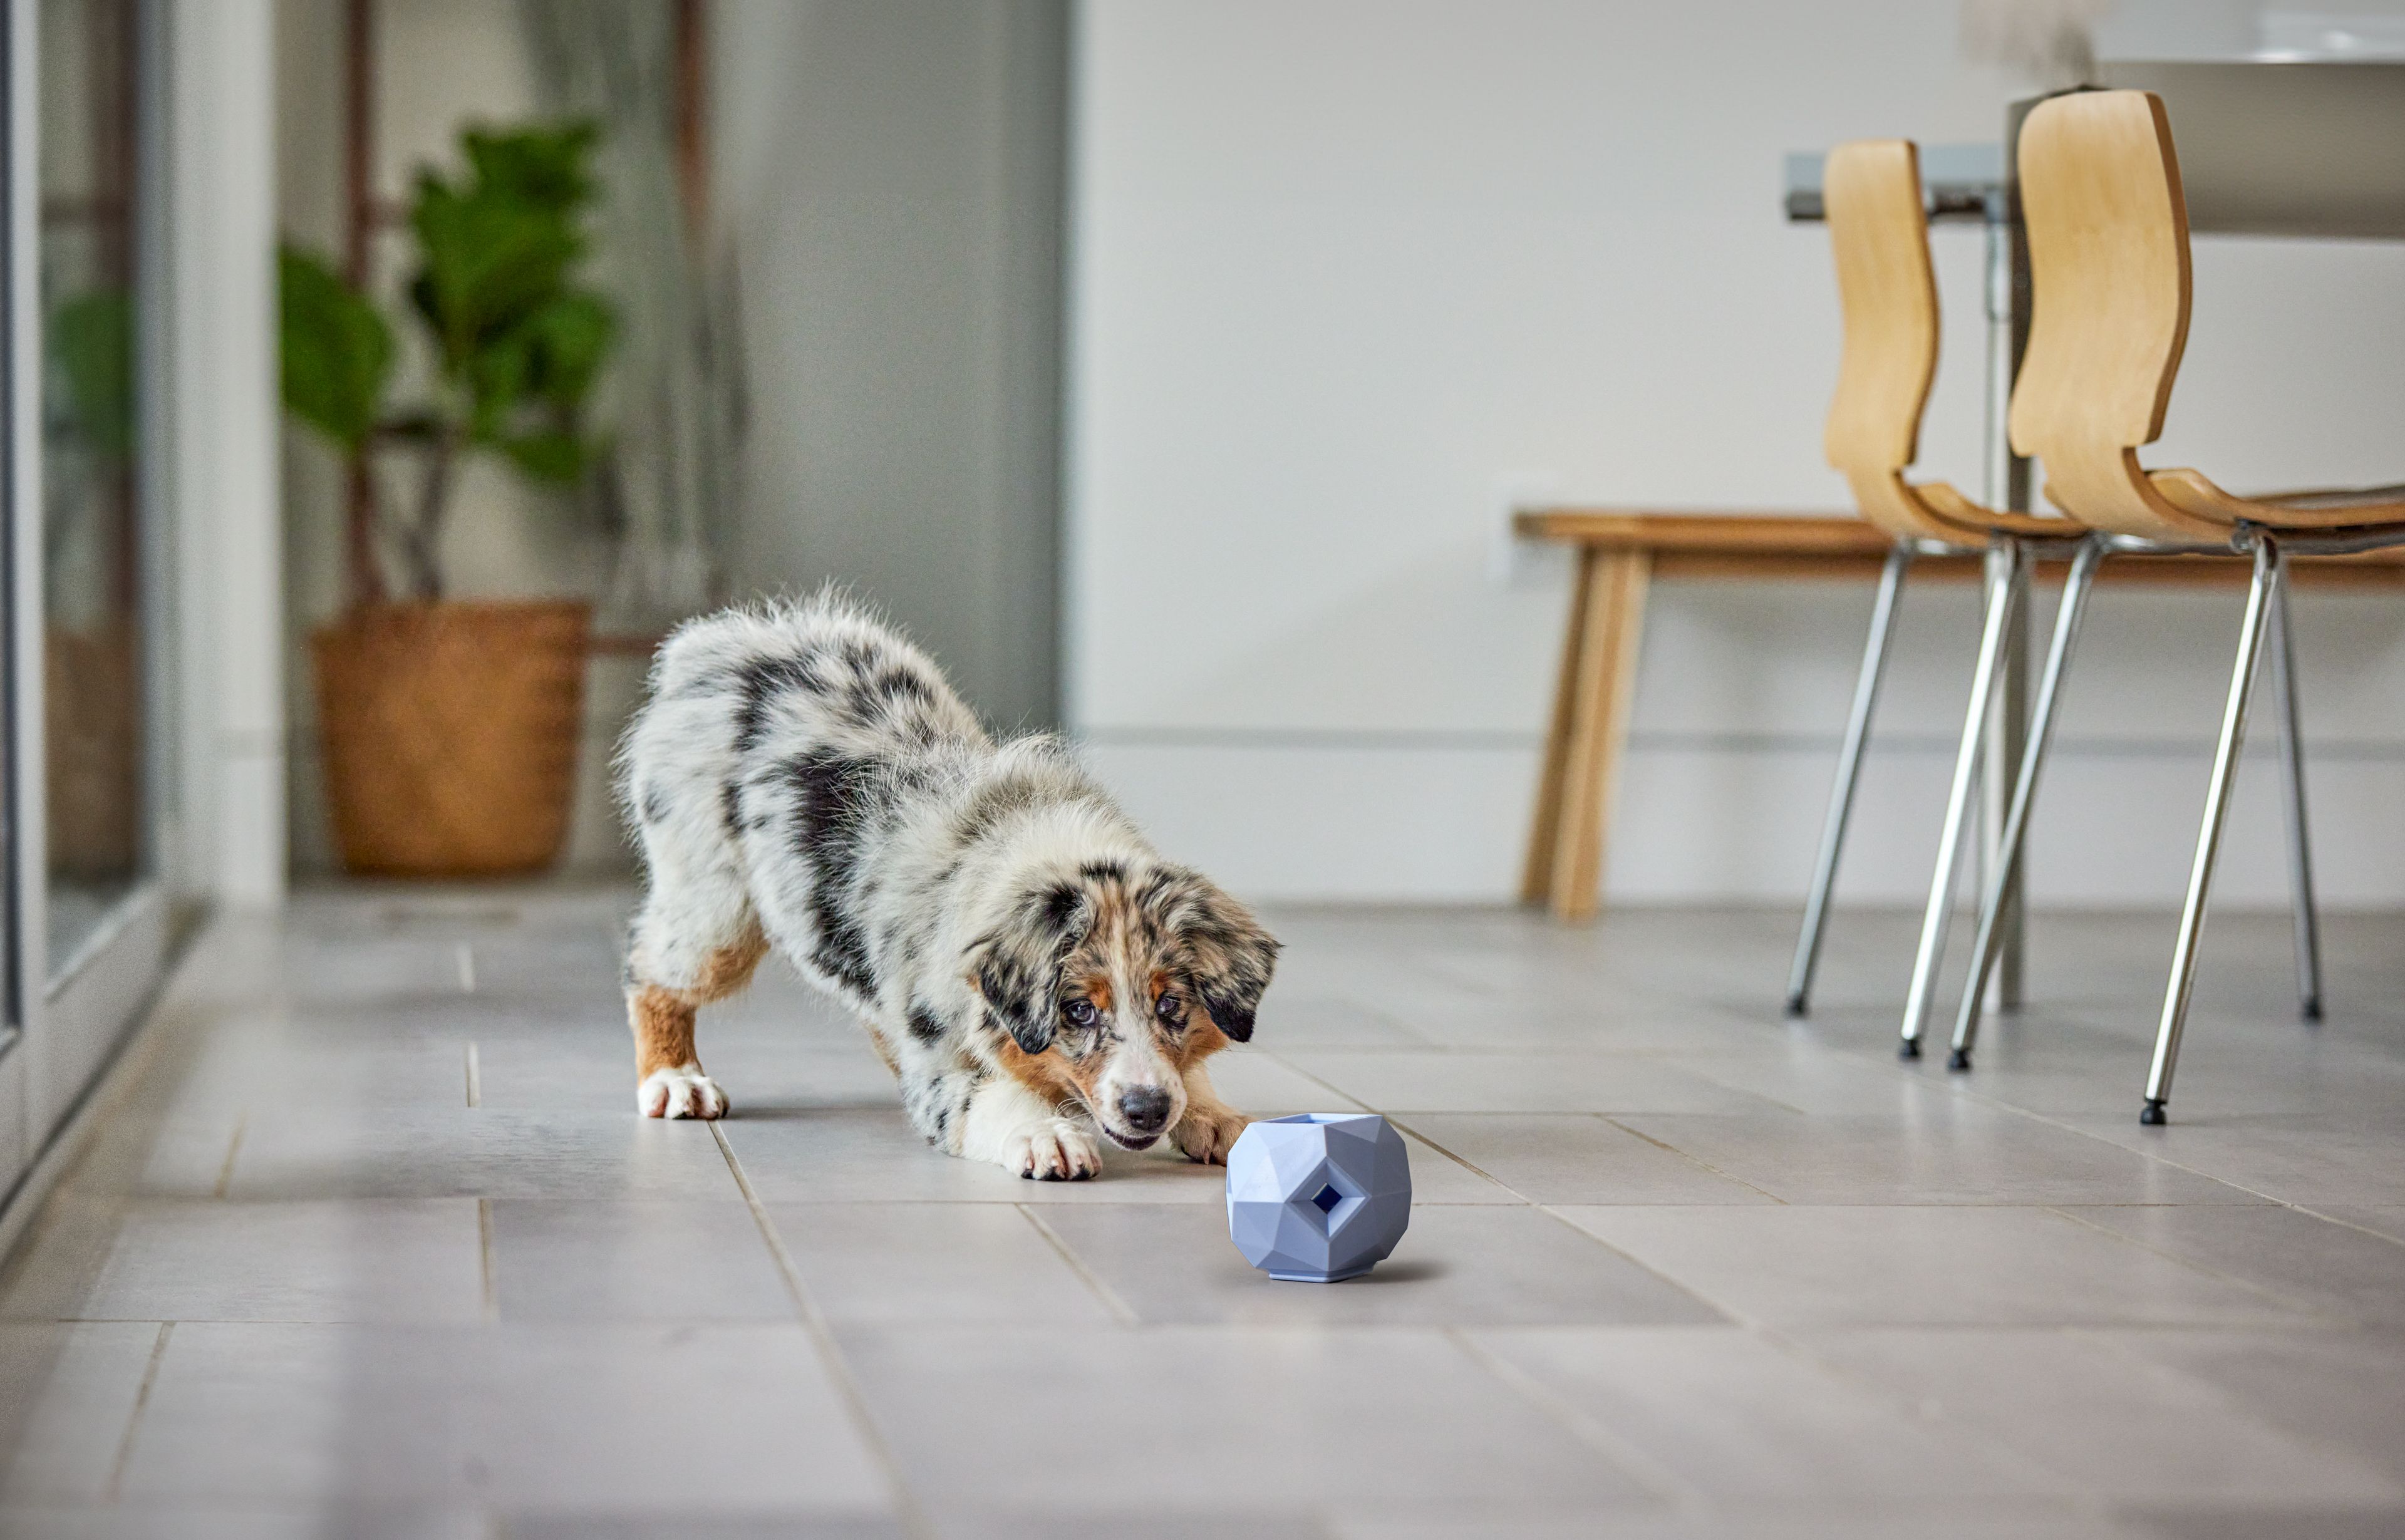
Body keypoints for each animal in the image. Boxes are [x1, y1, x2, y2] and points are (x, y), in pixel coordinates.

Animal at [616, 589, 1279, 1179]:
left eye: (1172, 1004)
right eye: (1078, 1011)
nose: (1146, 1110)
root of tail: (721, 641)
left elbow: (1187, 1073)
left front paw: (1217, 1117)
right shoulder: (943, 1067)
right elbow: (989, 1094)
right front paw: (1046, 1134)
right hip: (713, 903)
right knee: (650, 971)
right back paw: (675, 1080)